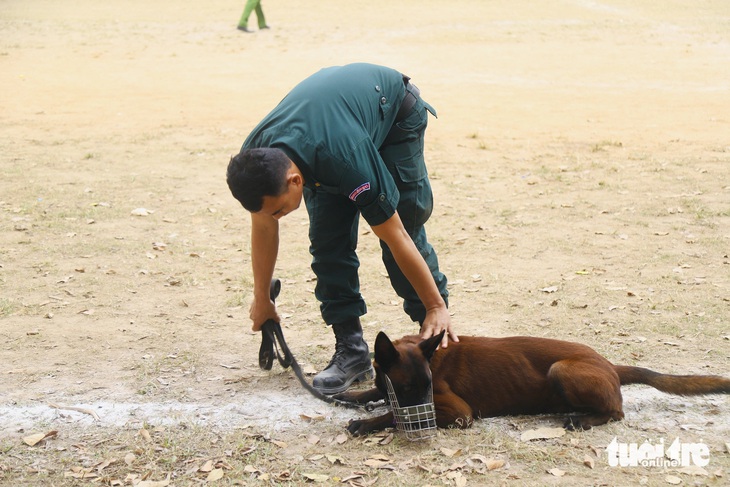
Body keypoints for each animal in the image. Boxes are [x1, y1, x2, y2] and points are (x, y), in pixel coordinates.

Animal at [336, 330, 728, 436]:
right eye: (406, 389)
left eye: (426, 388)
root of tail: (610, 365)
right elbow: (375, 392)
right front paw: (350, 395)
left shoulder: (459, 412)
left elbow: (395, 414)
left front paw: (366, 423)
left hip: (561, 370)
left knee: (616, 412)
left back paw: (581, 419)